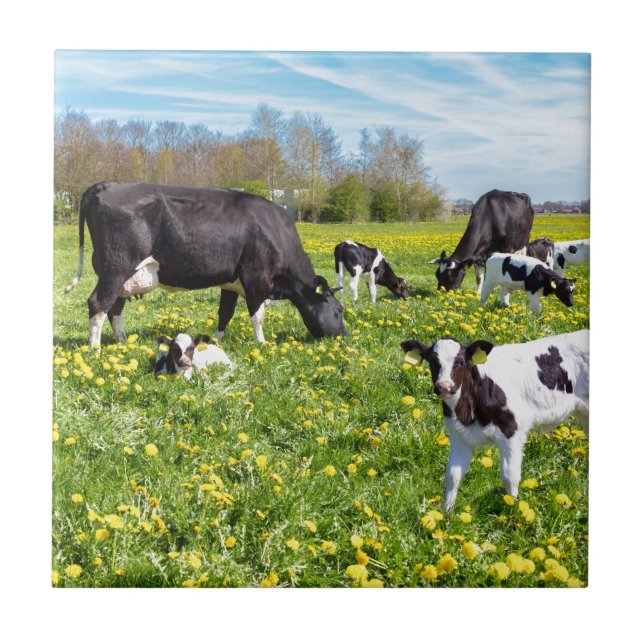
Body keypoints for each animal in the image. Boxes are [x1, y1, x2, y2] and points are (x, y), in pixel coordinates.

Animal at [64, 182, 347, 347]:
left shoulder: (231, 283)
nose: (344, 335)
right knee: (98, 303)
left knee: (114, 307)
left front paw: (218, 342)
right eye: (339, 309)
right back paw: (95, 349)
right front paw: (262, 343)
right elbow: (257, 315)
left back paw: (122, 342)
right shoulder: (256, 276)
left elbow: (225, 313)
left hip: (123, 275)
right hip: (116, 267)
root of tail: (106, 185)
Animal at [400, 329, 589, 510]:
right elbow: (453, 475)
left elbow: (509, 475)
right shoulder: (459, 435)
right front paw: (447, 513)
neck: (467, 411)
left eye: (460, 362)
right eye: (432, 361)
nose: (444, 387)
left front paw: (513, 509)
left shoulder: (511, 431)